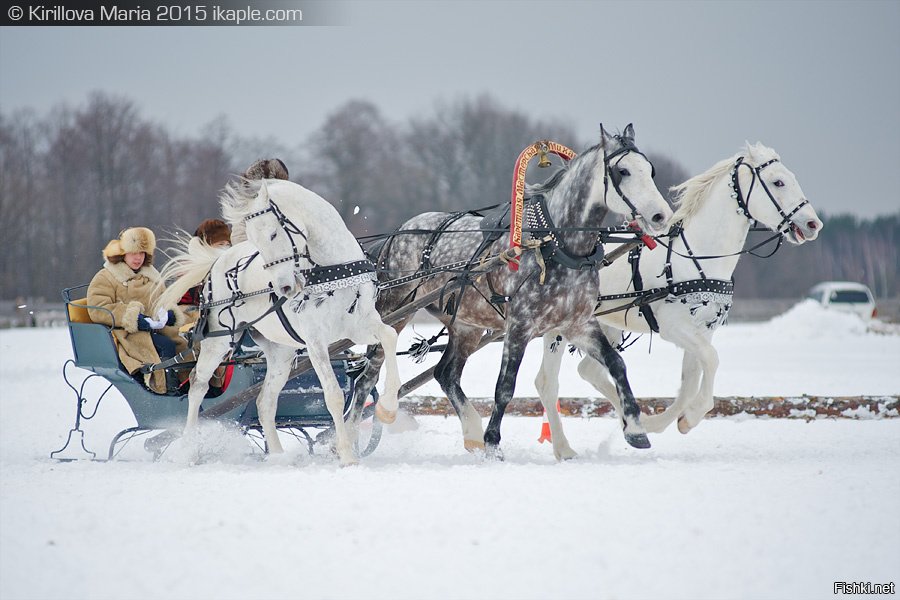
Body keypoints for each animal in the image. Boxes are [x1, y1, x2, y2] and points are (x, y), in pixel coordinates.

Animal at [157, 178, 400, 464]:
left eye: (273, 234)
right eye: (256, 241)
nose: (284, 287)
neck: (332, 271)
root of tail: (217, 261)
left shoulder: (359, 325)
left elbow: (390, 336)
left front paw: (388, 408)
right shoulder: (315, 341)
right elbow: (333, 395)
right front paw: (346, 455)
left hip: (280, 352)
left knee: (264, 402)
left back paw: (277, 455)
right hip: (219, 340)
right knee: (198, 385)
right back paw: (188, 449)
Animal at [536, 144, 824, 460]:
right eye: (778, 182)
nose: (813, 223)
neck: (696, 254)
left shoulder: (701, 330)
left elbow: (690, 380)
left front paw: (669, 421)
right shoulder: (674, 328)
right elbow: (712, 359)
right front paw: (683, 417)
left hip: (607, 325)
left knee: (589, 371)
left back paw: (632, 420)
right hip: (559, 328)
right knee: (546, 383)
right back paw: (564, 448)